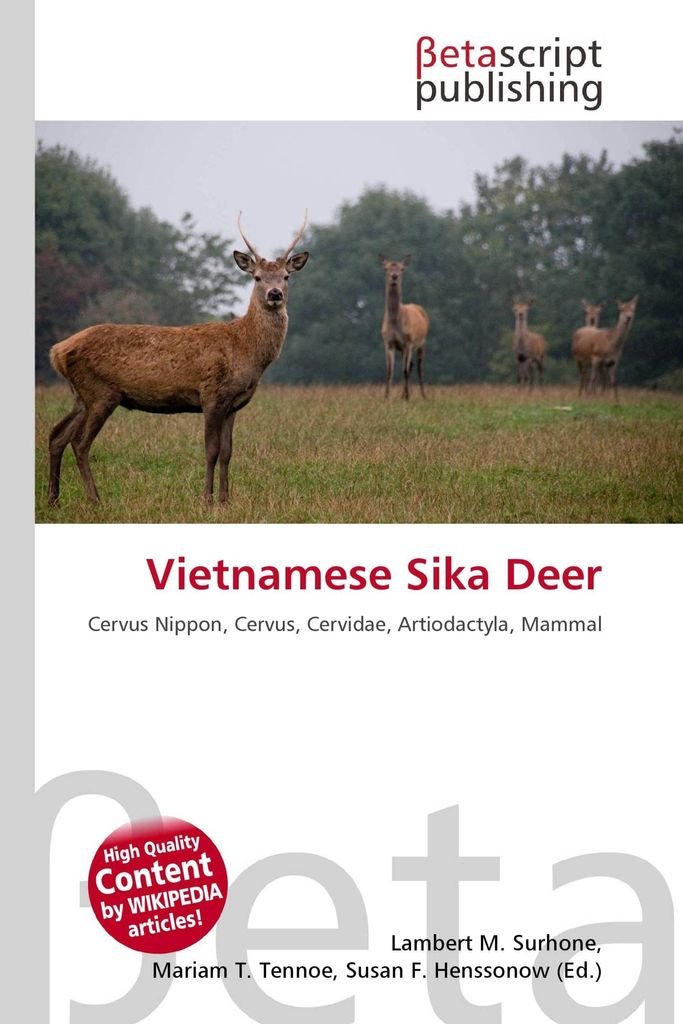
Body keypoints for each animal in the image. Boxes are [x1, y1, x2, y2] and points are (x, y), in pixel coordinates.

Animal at [47, 212, 309, 506]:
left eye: (286, 276)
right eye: (257, 277)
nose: (274, 294)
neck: (246, 350)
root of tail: (57, 351)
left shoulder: (233, 404)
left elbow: (228, 452)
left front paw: (225, 500)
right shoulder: (211, 394)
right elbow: (211, 450)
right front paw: (206, 500)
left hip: (82, 395)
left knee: (57, 435)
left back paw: (54, 500)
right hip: (101, 392)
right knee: (80, 442)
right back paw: (95, 500)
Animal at [378, 255, 429, 400]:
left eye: (402, 269)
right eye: (386, 268)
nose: (394, 276)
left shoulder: (408, 342)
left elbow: (405, 370)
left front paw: (407, 397)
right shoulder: (388, 342)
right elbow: (389, 371)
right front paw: (386, 396)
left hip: (421, 343)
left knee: (418, 368)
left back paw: (423, 395)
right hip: (404, 349)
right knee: (410, 366)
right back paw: (403, 394)